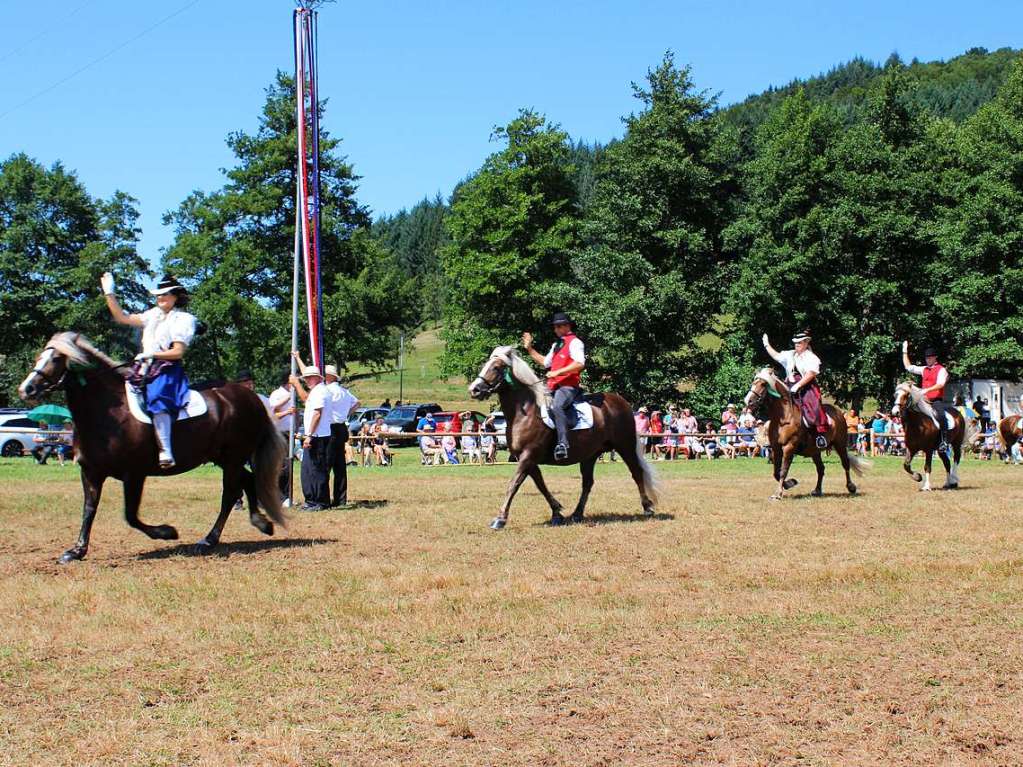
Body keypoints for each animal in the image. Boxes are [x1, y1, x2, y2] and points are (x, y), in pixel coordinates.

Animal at [17, 333, 288, 560]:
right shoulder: (91, 472)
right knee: (248, 481)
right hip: (224, 459)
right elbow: (89, 509)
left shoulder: (134, 474)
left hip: (232, 458)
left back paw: (209, 540)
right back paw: (261, 523)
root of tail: (251, 398)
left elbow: (130, 516)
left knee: (231, 493)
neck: (110, 414)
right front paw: (76, 551)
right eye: (39, 357)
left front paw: (168, 532)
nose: (26, 388)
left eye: (56, 359)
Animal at [468, 347, 658, 527]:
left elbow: (513, 484)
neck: (526, 414)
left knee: (637, 473)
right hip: (590, 455)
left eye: (496, 367)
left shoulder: (528, 456)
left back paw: (647, 507)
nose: (474, 390)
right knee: (587, 483)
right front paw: (557, 513)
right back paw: (577, 514)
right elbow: (541, 485)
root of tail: (622, 402)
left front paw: (500, 519)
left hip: (625, 446)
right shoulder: (528, 459)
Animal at [740, 368, 867, 501]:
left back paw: (851, 487)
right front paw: (790, 483)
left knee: (845, 464)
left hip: (840, 445)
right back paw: (817, 490)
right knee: (821, 469)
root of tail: (838, 413)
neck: (784, 418)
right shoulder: (776, 449)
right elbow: (776, 472)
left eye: (763, 384)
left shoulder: (789, 447)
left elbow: (783, 471)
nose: (748, 401)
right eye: (754, 382)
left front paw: (778, 493)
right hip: (815, 451)